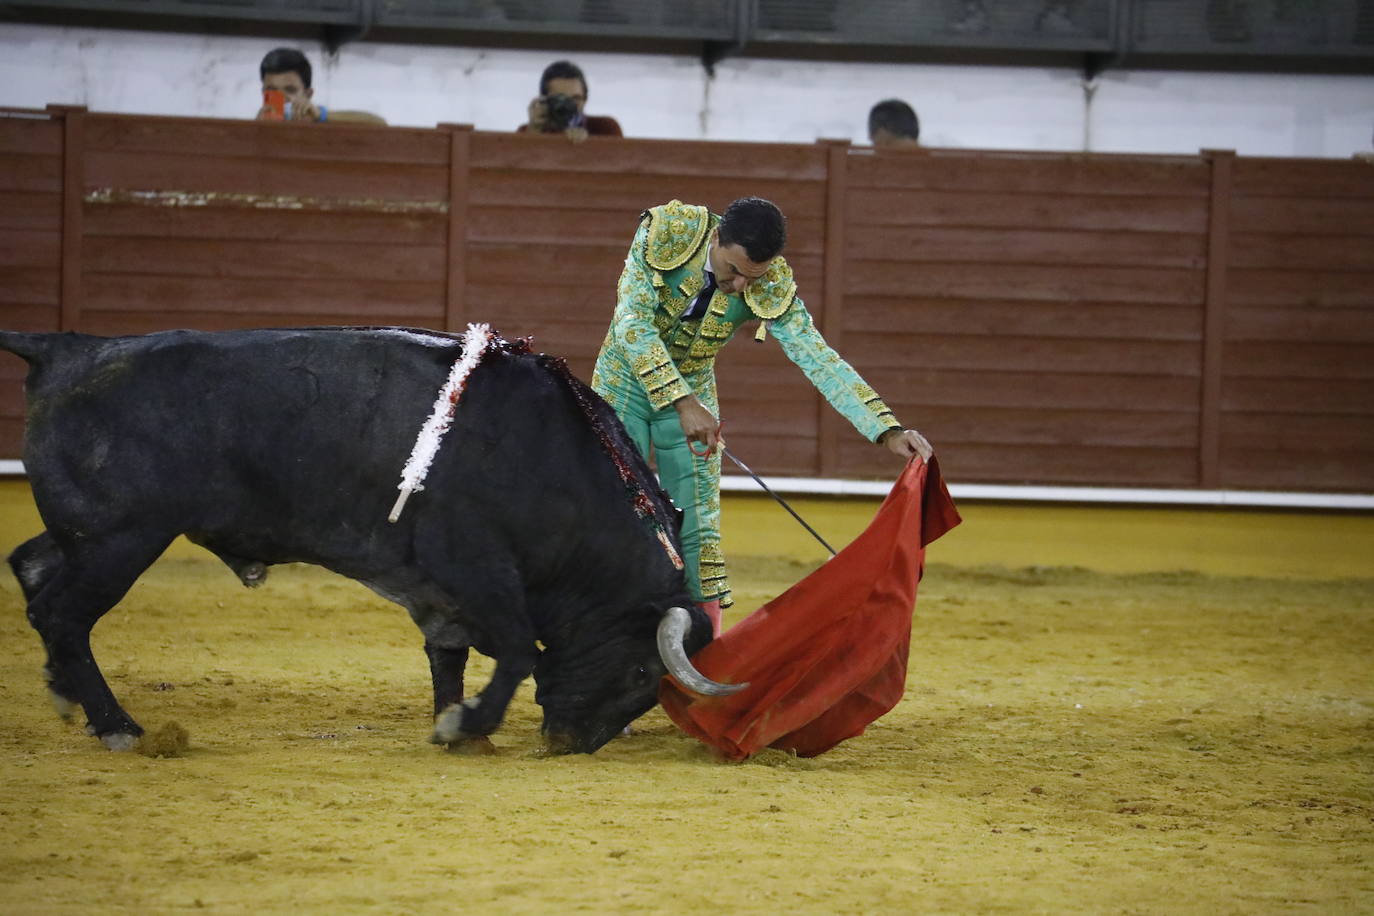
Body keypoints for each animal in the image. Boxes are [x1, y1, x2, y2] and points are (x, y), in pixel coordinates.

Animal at [0, 325, 741, 758]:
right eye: (642, 674)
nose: (570, 744)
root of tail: (66, 347)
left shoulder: (440, 587)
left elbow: (449, 654)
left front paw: (456, 726)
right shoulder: (477, 566)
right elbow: (514, 650)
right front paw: (467, 725)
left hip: (88, 536)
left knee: (32, 570)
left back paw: (66, 696)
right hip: (121, 539)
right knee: (62, 612)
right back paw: (117, 725)